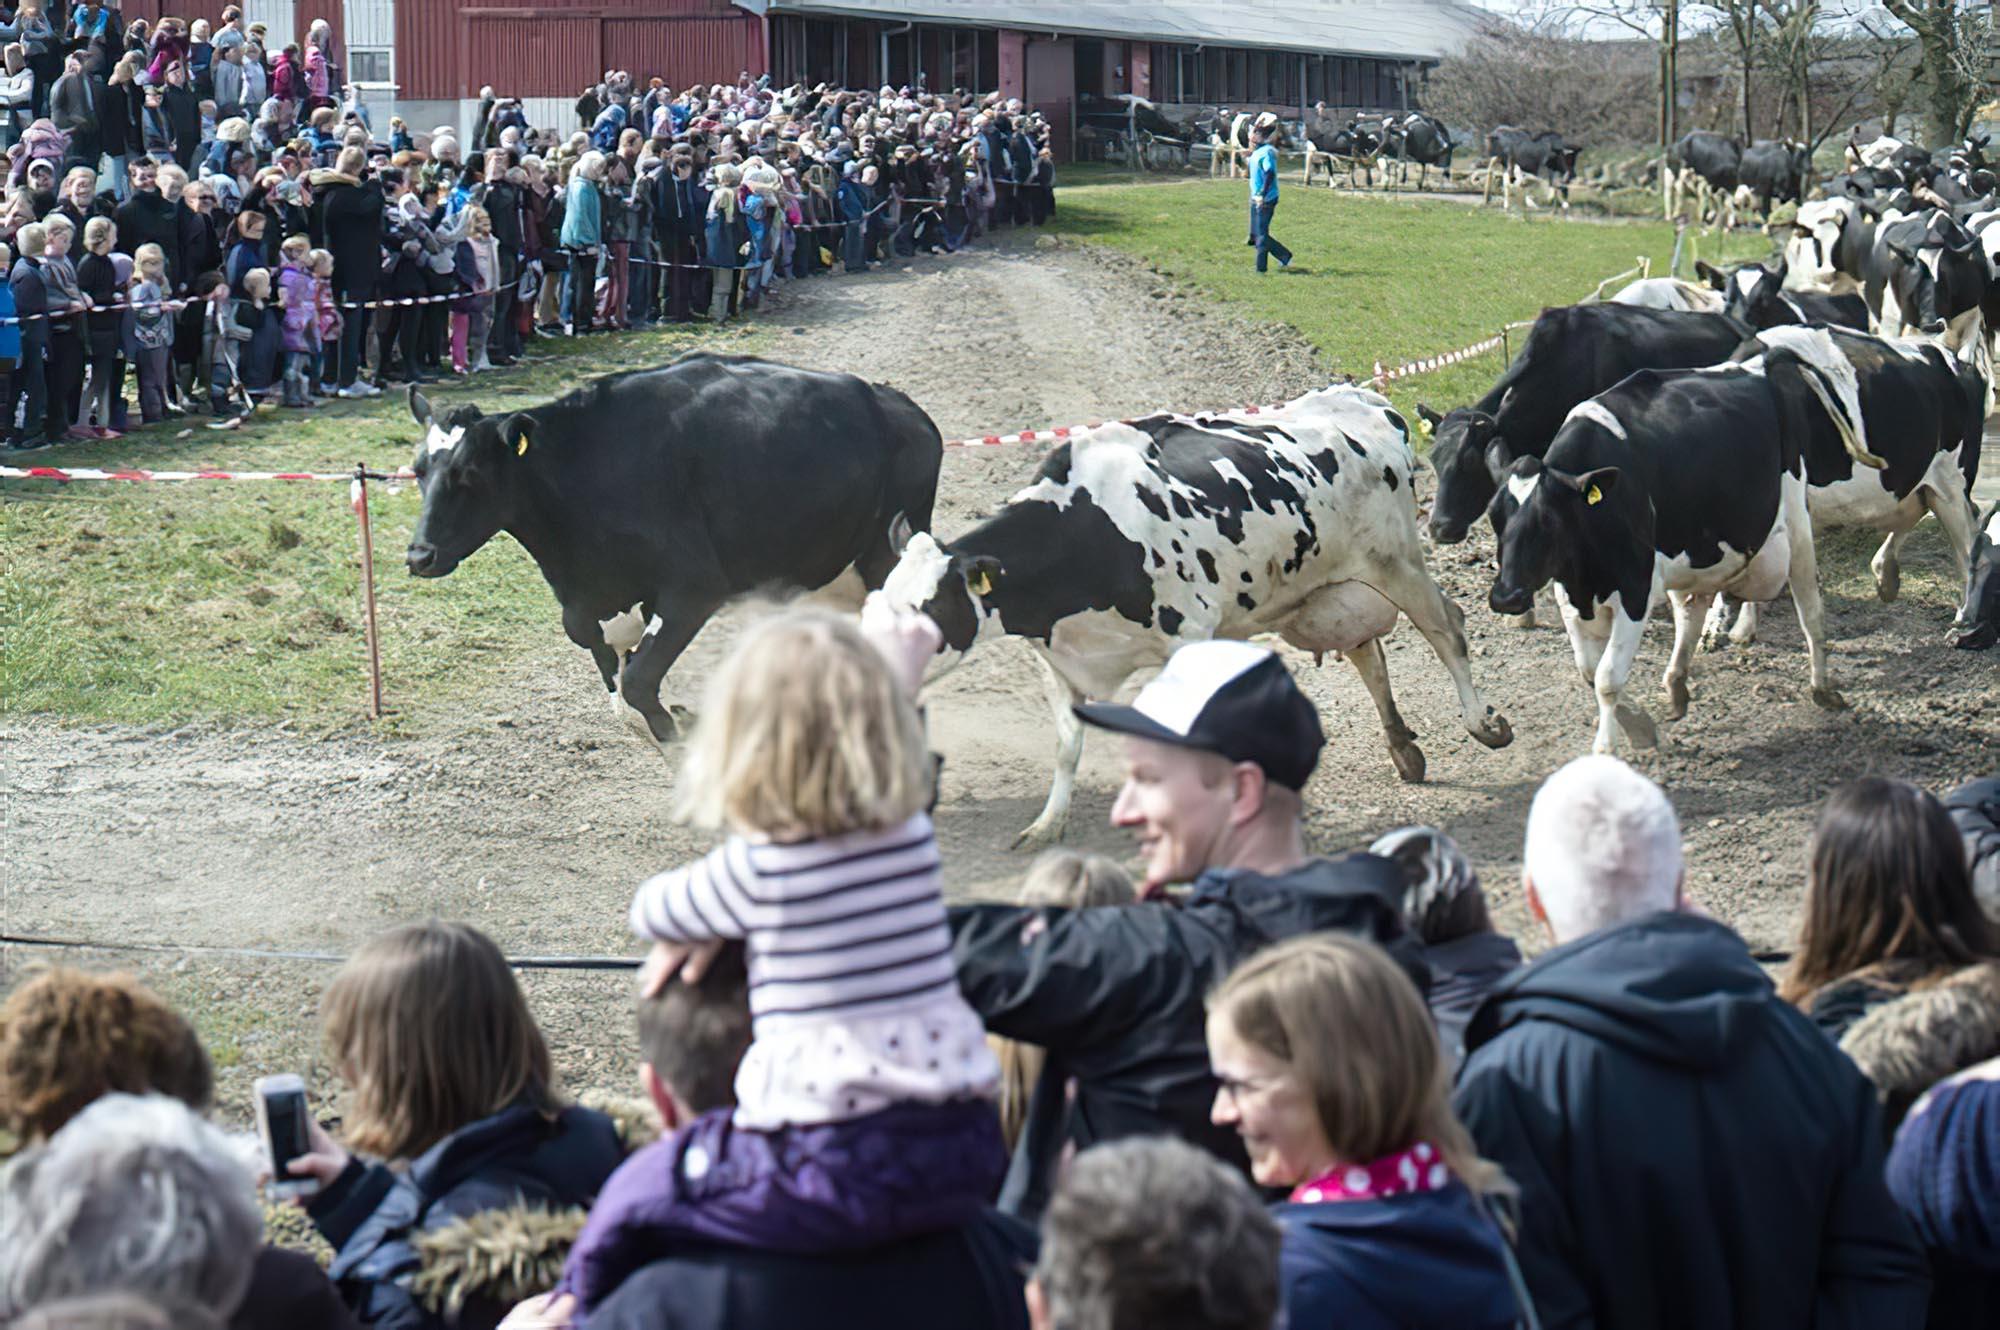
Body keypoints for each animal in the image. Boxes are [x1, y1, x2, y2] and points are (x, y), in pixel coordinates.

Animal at [406, 352, 944, 740]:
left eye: (469, 473)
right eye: (418, 470)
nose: (418, 556)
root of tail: (900, 407)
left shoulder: (693, 590)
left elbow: (638, 682)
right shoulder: (595, 606)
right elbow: (615, 681)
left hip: (885, 555)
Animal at [884, 386, 1504, 840]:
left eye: (926, 609)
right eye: (879, 602)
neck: (1089, 526)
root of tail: (1364, 399)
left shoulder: (1189, 637)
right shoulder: (1060, 660)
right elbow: (1066, 746)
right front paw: (1048, 824)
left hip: (1397, 562)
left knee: (1447, 628)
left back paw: (1483, 723)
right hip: (1327, 589)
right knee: (1366, 654)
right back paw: (1402, 747)